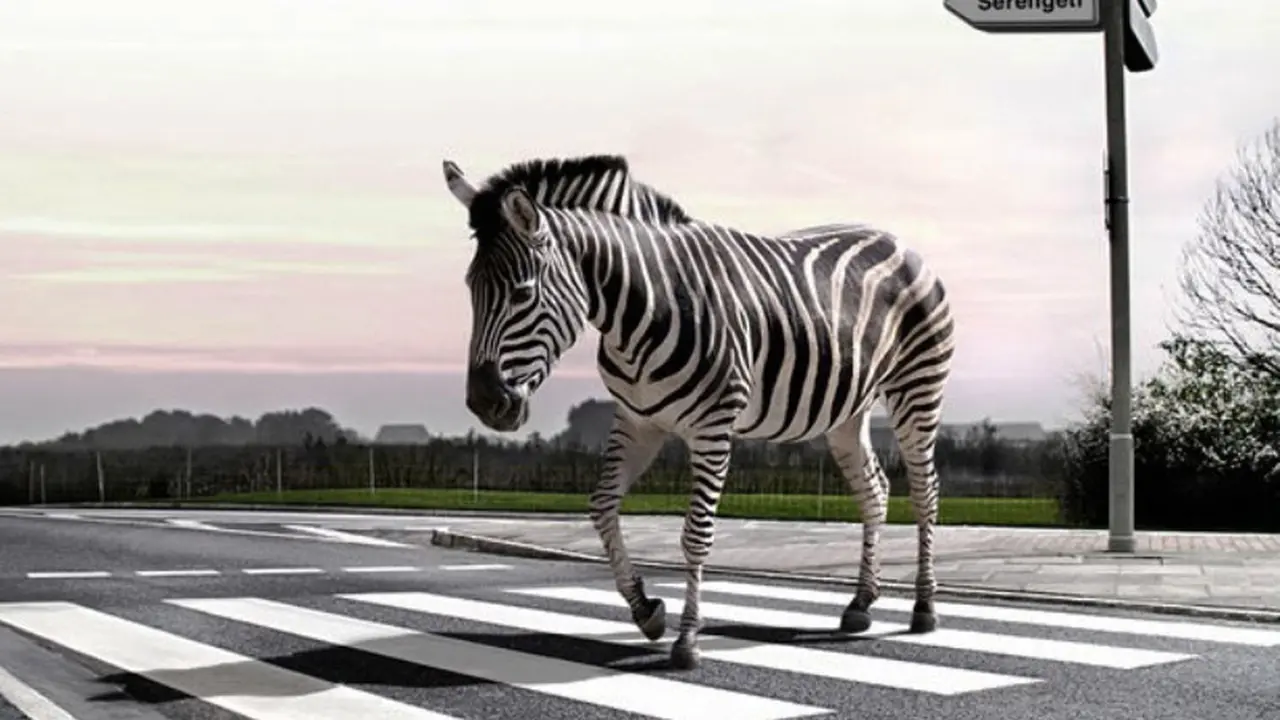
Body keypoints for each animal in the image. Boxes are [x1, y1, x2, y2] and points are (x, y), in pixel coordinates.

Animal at [443, 153, 955, 671]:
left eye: (522, 293)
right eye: (469, 287)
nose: (484, 402)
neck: (642, 311)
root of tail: (899, 241)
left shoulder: (713, 426)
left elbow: (696, 534)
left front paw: (687, 639)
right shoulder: (637, 422)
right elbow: (602, 507)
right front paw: (646, 610)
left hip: (917, 388)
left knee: (925, 492)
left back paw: (924, 608)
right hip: (847, 412)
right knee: (875, 491)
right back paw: (860, 604)